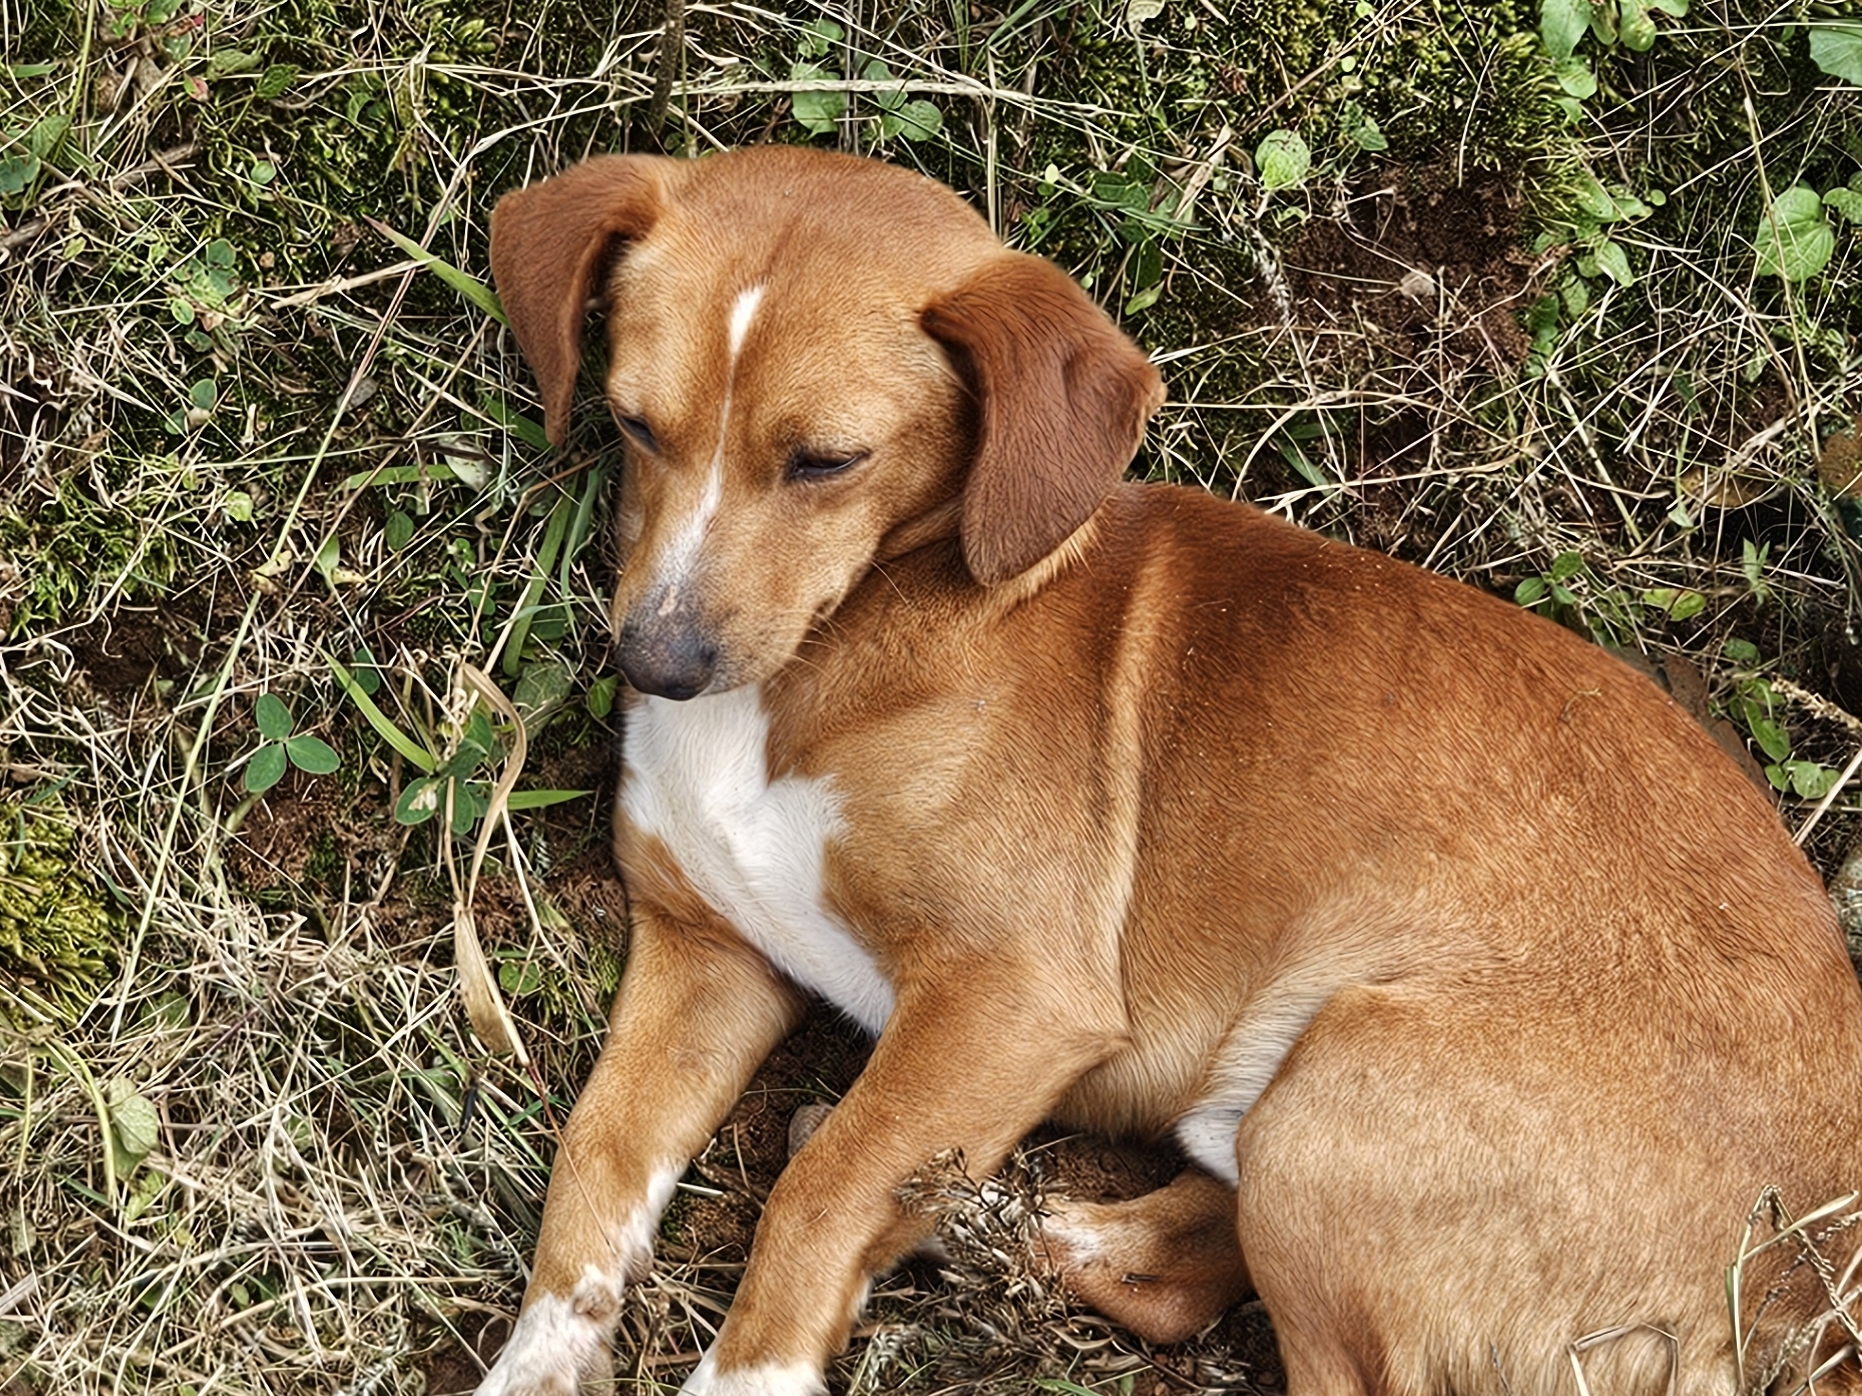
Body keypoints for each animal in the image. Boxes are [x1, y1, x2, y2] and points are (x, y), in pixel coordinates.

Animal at [476, 145, 1862, 1396]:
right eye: (632, 422)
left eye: (826, 459)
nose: (653, 661)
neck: (844, 644)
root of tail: (1806, 1294)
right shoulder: (706, 949)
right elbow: (594, 1158)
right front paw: (537, 1363)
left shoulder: (1015, 994)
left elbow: (817, 1195)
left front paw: (752, 1367)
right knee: (1179, 1271)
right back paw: (986, 1222)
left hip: (1334, 1087)